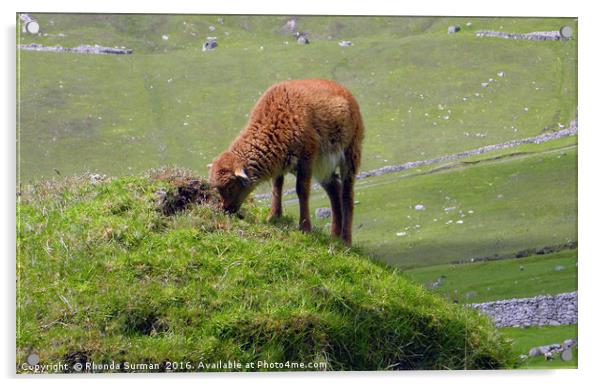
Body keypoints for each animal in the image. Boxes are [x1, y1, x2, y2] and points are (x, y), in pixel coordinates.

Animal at [209, 78, 364, 246]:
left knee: (347, 194)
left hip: (351, 151)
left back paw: (346, 240)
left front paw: (304, 227)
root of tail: (344, 91)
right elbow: (277, 186)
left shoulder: (306, 157)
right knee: (335, 189)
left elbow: (301, 190)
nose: (226, 210)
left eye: (231, 186)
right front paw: (273, 216)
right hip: (322, 165)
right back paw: (335, 235)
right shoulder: (282, 162)